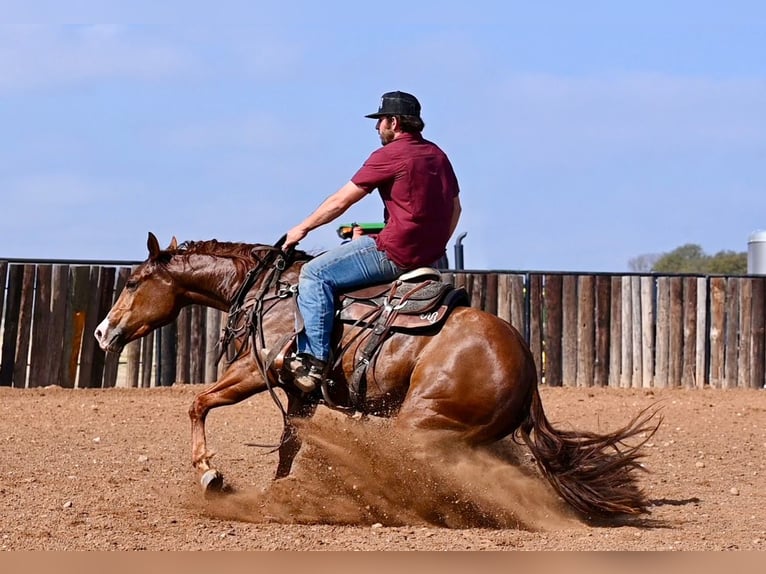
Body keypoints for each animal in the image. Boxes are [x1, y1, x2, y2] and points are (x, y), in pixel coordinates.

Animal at [94, 232, 660, 520]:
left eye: (134, 281)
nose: (102, 332)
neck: (271, 294)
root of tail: (525, 367)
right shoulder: (300, 395)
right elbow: (289, 446)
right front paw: (277, 495)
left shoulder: (254, 371)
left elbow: (198, 403)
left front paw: (211, 475)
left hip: (422, 424)